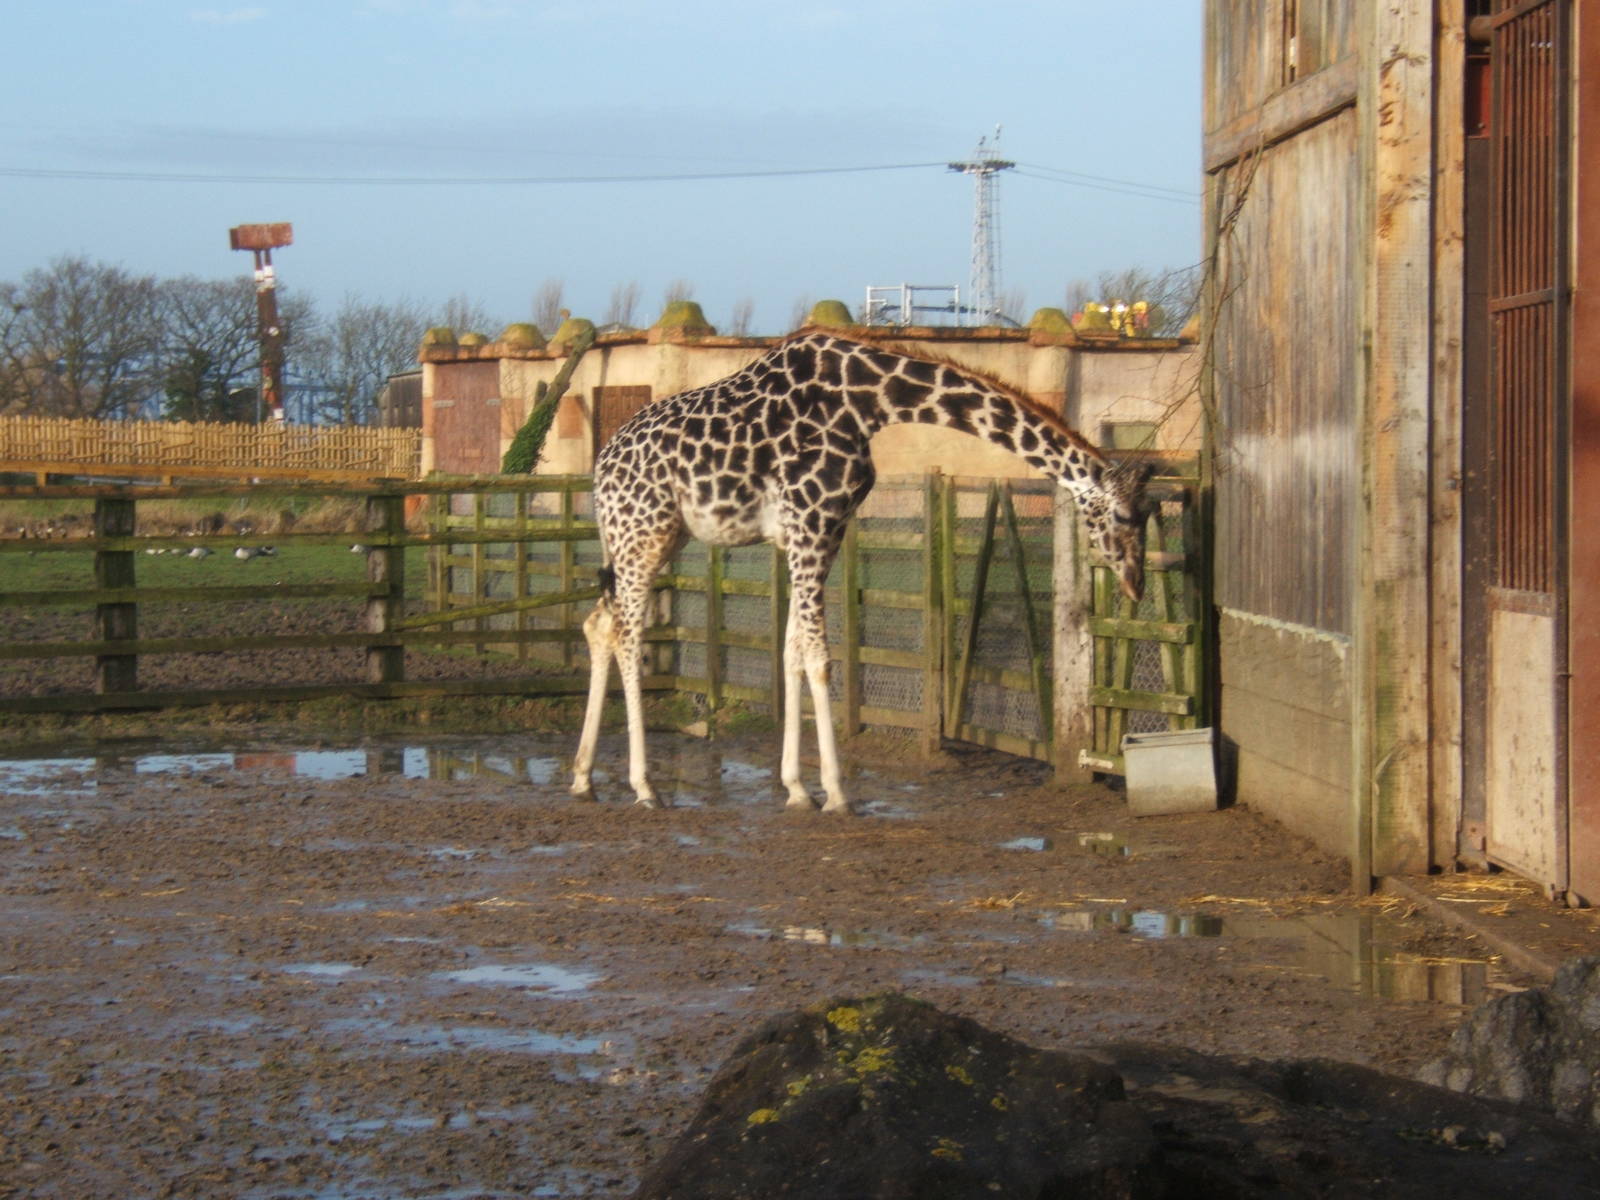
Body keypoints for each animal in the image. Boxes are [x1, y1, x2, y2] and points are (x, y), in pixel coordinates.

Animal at [570, 331, 1150, 812]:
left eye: (1149, 514)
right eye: (1125, 515)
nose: (1136, 584)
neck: (869, 402)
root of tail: (600, 467)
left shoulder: (821, 532)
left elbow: (792, 654)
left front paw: (797, 788)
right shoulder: (811, 524)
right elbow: (821, 659)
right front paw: (836, 793)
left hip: (657, 537)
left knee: (598, 624)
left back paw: (582, 778)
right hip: (642, 536)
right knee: (627, 635)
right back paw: (643, 787)